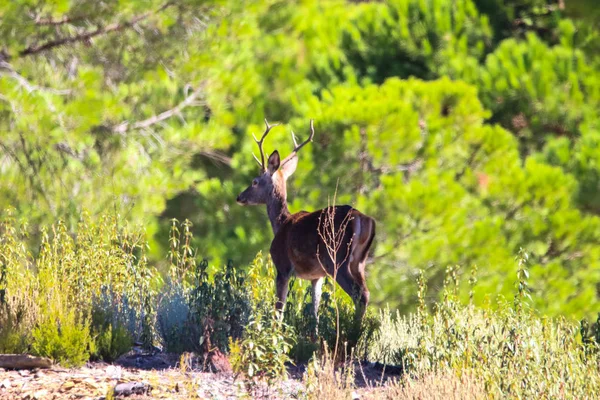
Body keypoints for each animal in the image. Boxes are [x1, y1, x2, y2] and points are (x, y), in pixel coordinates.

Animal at [234, 119, 376, 332]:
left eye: (255, 181)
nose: (239, 197)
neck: (280, 223)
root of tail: (363, 218)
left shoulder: (282, 265)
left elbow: (279, 309)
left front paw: (274, 335)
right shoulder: (316, 276)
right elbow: (314, 313)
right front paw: (314, 336)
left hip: (336, 258)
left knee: (359, 295)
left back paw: (354, 333)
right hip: (359, 261)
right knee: (365, 293)